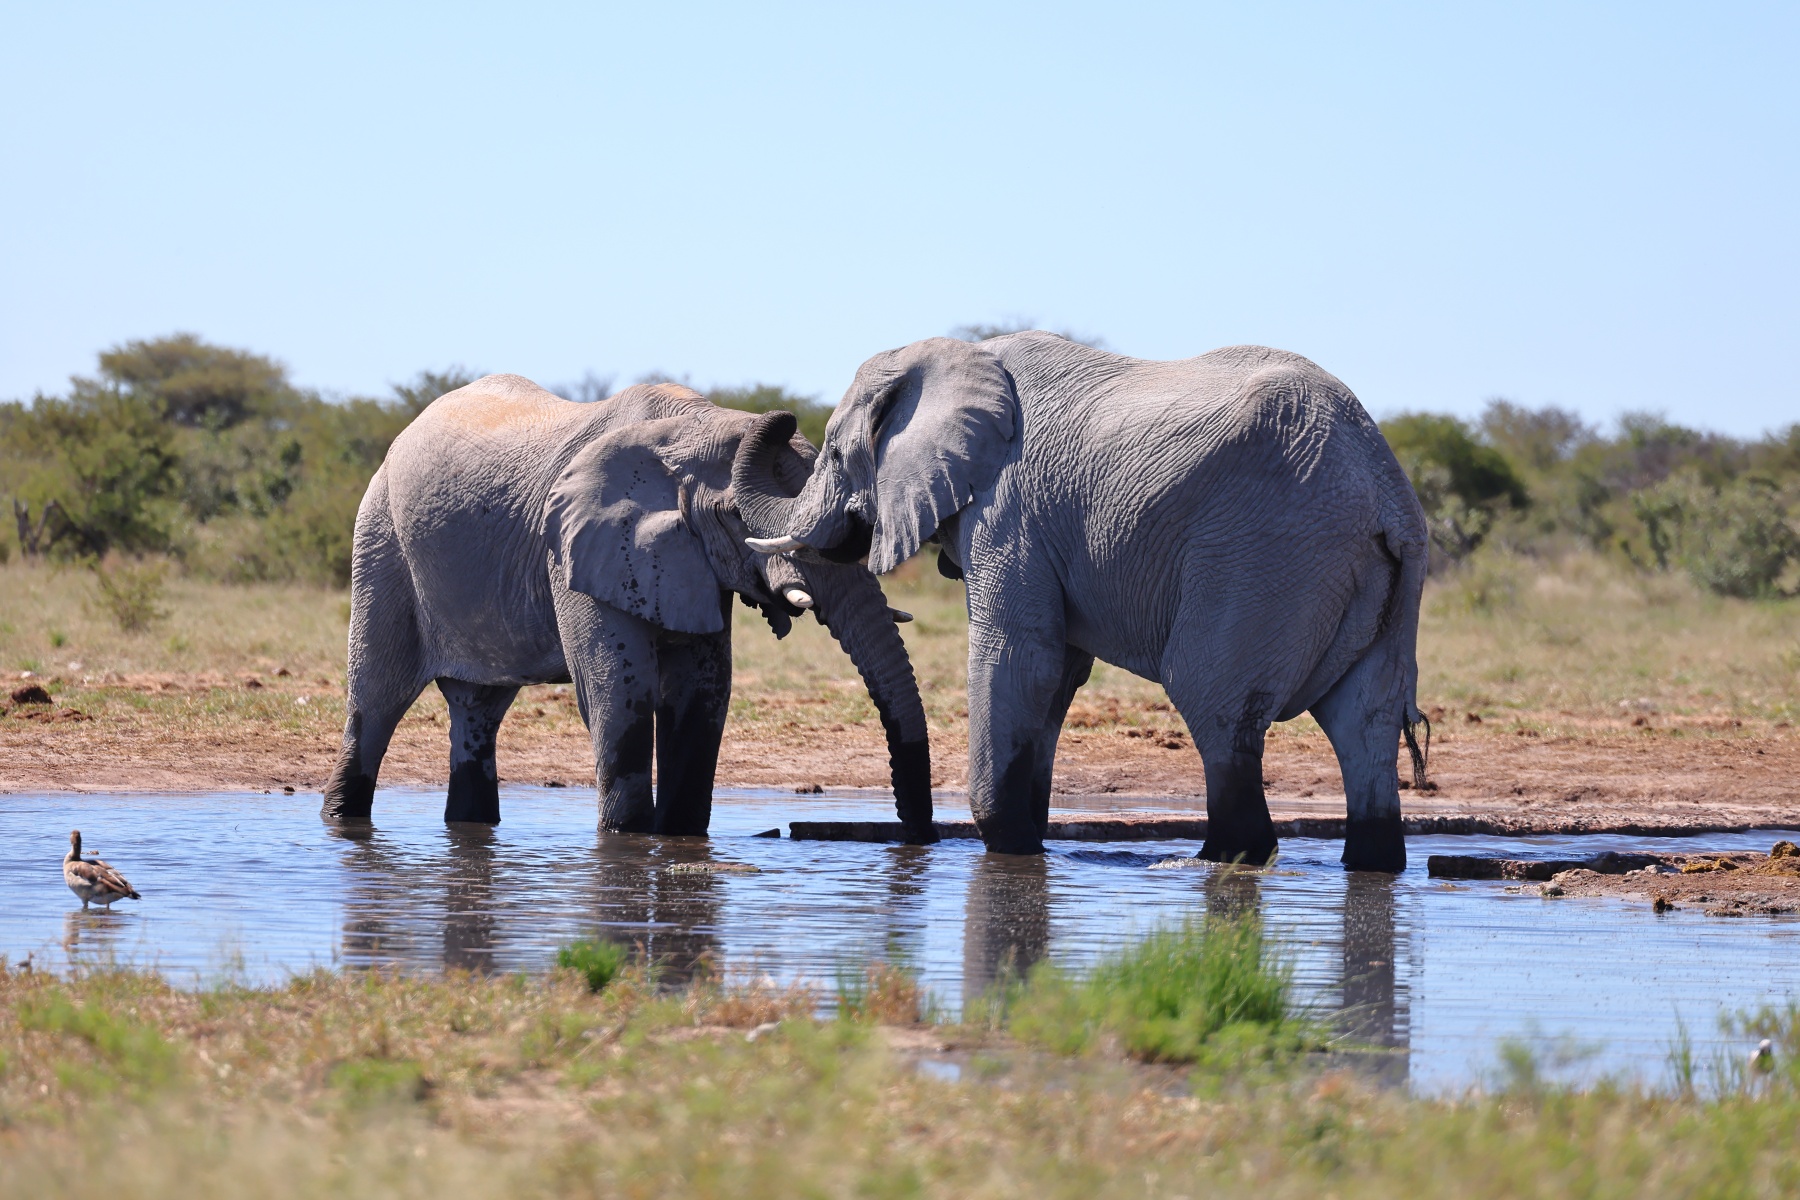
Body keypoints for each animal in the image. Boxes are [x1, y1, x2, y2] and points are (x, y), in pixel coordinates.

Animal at [320, 375, 935, 842]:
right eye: (740, 516)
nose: (915, 837)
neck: (693, 427)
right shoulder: (573, 546)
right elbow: (618, 693)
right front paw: (629, 840)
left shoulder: (690, 561)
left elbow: (702, 694)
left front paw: (679, 837)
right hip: (381, 541)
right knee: (375, 701)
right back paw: (342, 819)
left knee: (477, 710)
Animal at [731, 333, 1428, 872]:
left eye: (832, 452)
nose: (779, 417)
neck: (945, 356)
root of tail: (1388, 492)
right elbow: (1058, 673)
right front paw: (1026, 849)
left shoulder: (1009, 509)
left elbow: (1021, 655)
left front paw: (1006, 844)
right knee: (1363, 719)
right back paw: (1370, 862)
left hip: (1262, 556)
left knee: (1214, 700)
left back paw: (1208, 862)